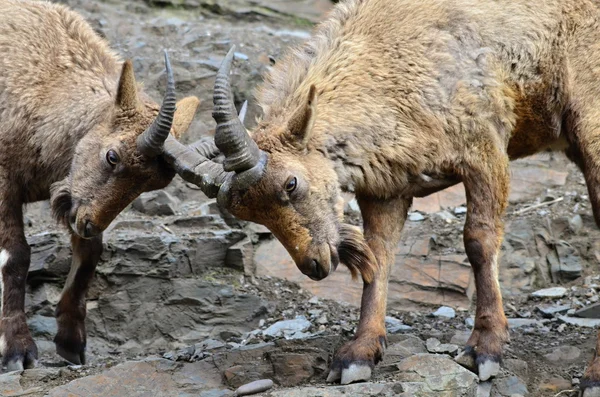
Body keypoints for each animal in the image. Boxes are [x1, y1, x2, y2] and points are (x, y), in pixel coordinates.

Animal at [0, 0, 202, 370]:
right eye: (112, 156)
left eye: (152, 184)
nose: (89, 224)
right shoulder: (4, 179)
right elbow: (16, 255)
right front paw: (18, 350)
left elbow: (88, 255)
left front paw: (70, 342)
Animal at [163, 0, 600, 392]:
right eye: (249, 213)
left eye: (291, 184)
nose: (315, 265)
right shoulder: (388, 187)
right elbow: (379, 257)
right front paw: (357, 355)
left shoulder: (485, 149)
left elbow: (478, 240)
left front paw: (485, 349)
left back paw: (592, 375)